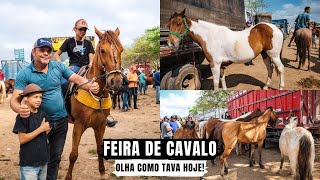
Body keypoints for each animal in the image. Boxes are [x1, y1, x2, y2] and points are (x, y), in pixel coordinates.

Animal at [65, 26, 123, 180]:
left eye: (121, 50)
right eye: (102, 50)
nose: (116, 81)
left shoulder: (100, 125)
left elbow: (100, 150)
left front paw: (102, 172)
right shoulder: (78, 125)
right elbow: (73, 154)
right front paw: (68, 176)